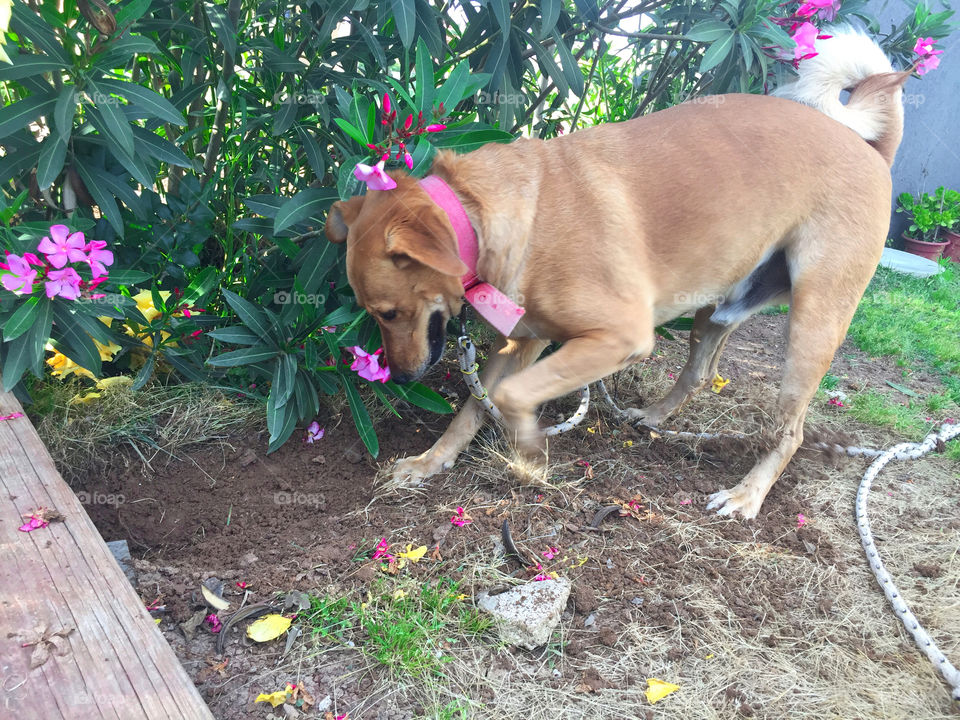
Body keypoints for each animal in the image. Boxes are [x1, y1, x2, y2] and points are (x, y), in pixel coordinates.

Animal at [326, 31, 912, 520]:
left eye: (389, 313)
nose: (402, 378)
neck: (486, 212)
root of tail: (869, 149)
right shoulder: (522, 341)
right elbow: (472, 407)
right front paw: (431, 460)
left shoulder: (617, 337)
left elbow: (511, 399)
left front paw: (528, 450)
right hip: (719, 306)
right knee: (699, 373)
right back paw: (655, 416)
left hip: (813, 324)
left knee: (790, 431)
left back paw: (747, 495)